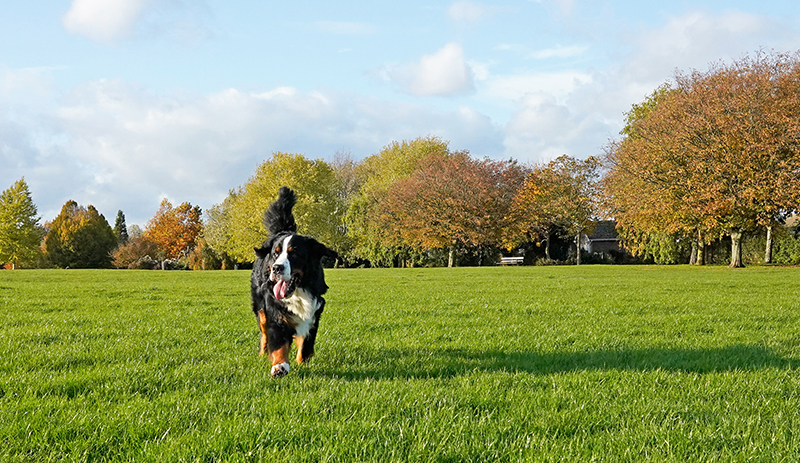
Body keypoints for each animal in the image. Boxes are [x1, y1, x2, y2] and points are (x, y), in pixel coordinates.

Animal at [250, 187, 338, 378]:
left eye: (294, 253)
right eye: (275, 253)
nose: (276, 268)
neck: (298, 291)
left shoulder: (313, 313)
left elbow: (305, 344)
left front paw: (302, 362)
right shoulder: (276, 313)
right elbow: (279, 345)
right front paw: (280, 367)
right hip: (260, 310)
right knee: (264, 334)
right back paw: (262, 352)